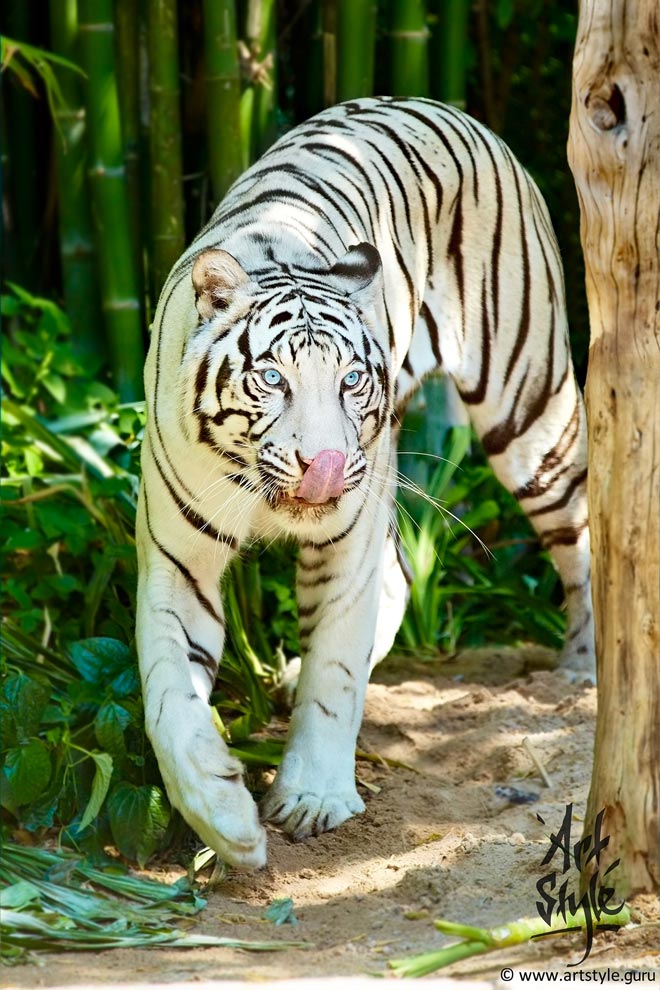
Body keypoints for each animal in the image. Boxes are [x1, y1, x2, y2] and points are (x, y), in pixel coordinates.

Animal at [136, 96, 594, 870]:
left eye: (351, 379)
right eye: (272, 378)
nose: (322, 465)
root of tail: (440, 105)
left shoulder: (345, 536)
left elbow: (336, 670)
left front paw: (313, 798)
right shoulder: (177, 560)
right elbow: (169, 695)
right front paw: (223, 819)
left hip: (532, 410)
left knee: (585, 536)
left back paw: (582, 671)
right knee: (404, 572)